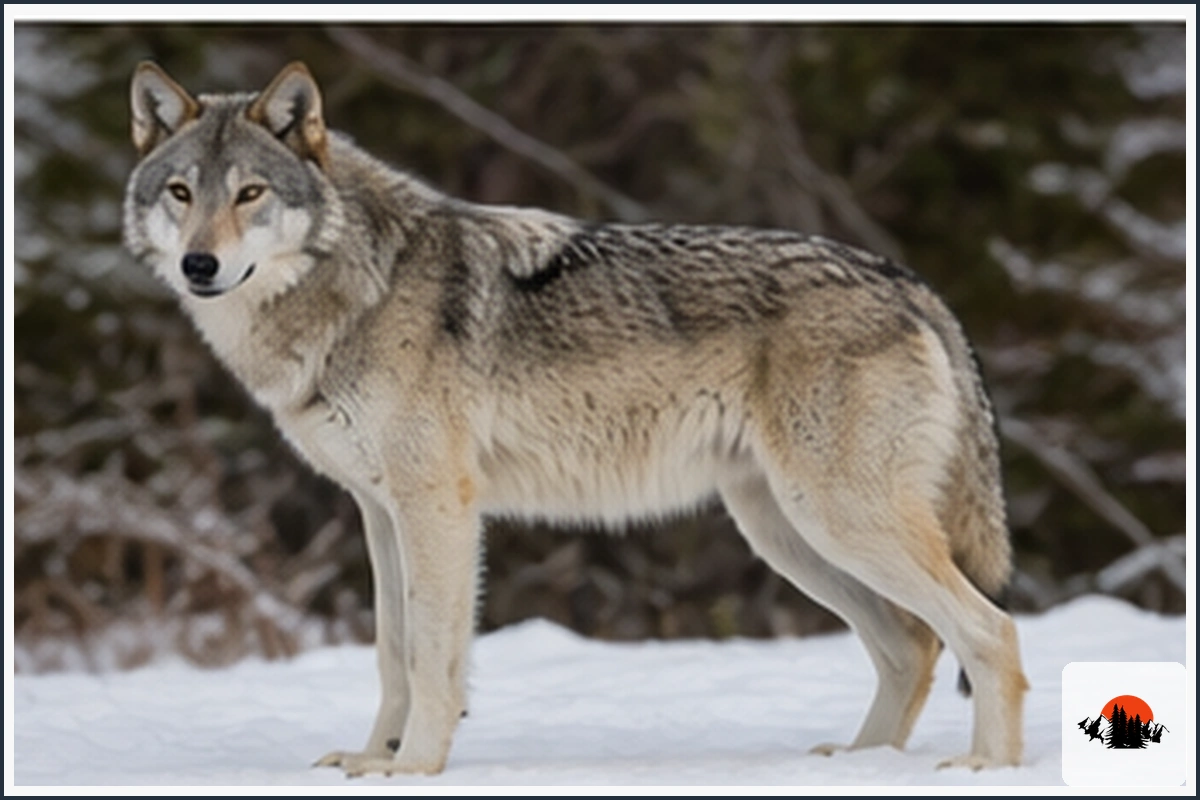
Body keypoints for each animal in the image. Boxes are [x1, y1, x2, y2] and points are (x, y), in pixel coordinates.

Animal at [124, 61, 1028, 776]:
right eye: (181, 192)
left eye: (250, 193)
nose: (199, 264)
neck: (357, 288)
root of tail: (909, 282)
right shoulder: (378, 511)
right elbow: (390, 652)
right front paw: (373, 758)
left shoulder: (436, 507)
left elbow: (430, 656)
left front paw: (413, 769)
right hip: (786, 534)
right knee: (913, 646)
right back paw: (860, 763)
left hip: (836, 520)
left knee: (989, 632)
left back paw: (986, 766)